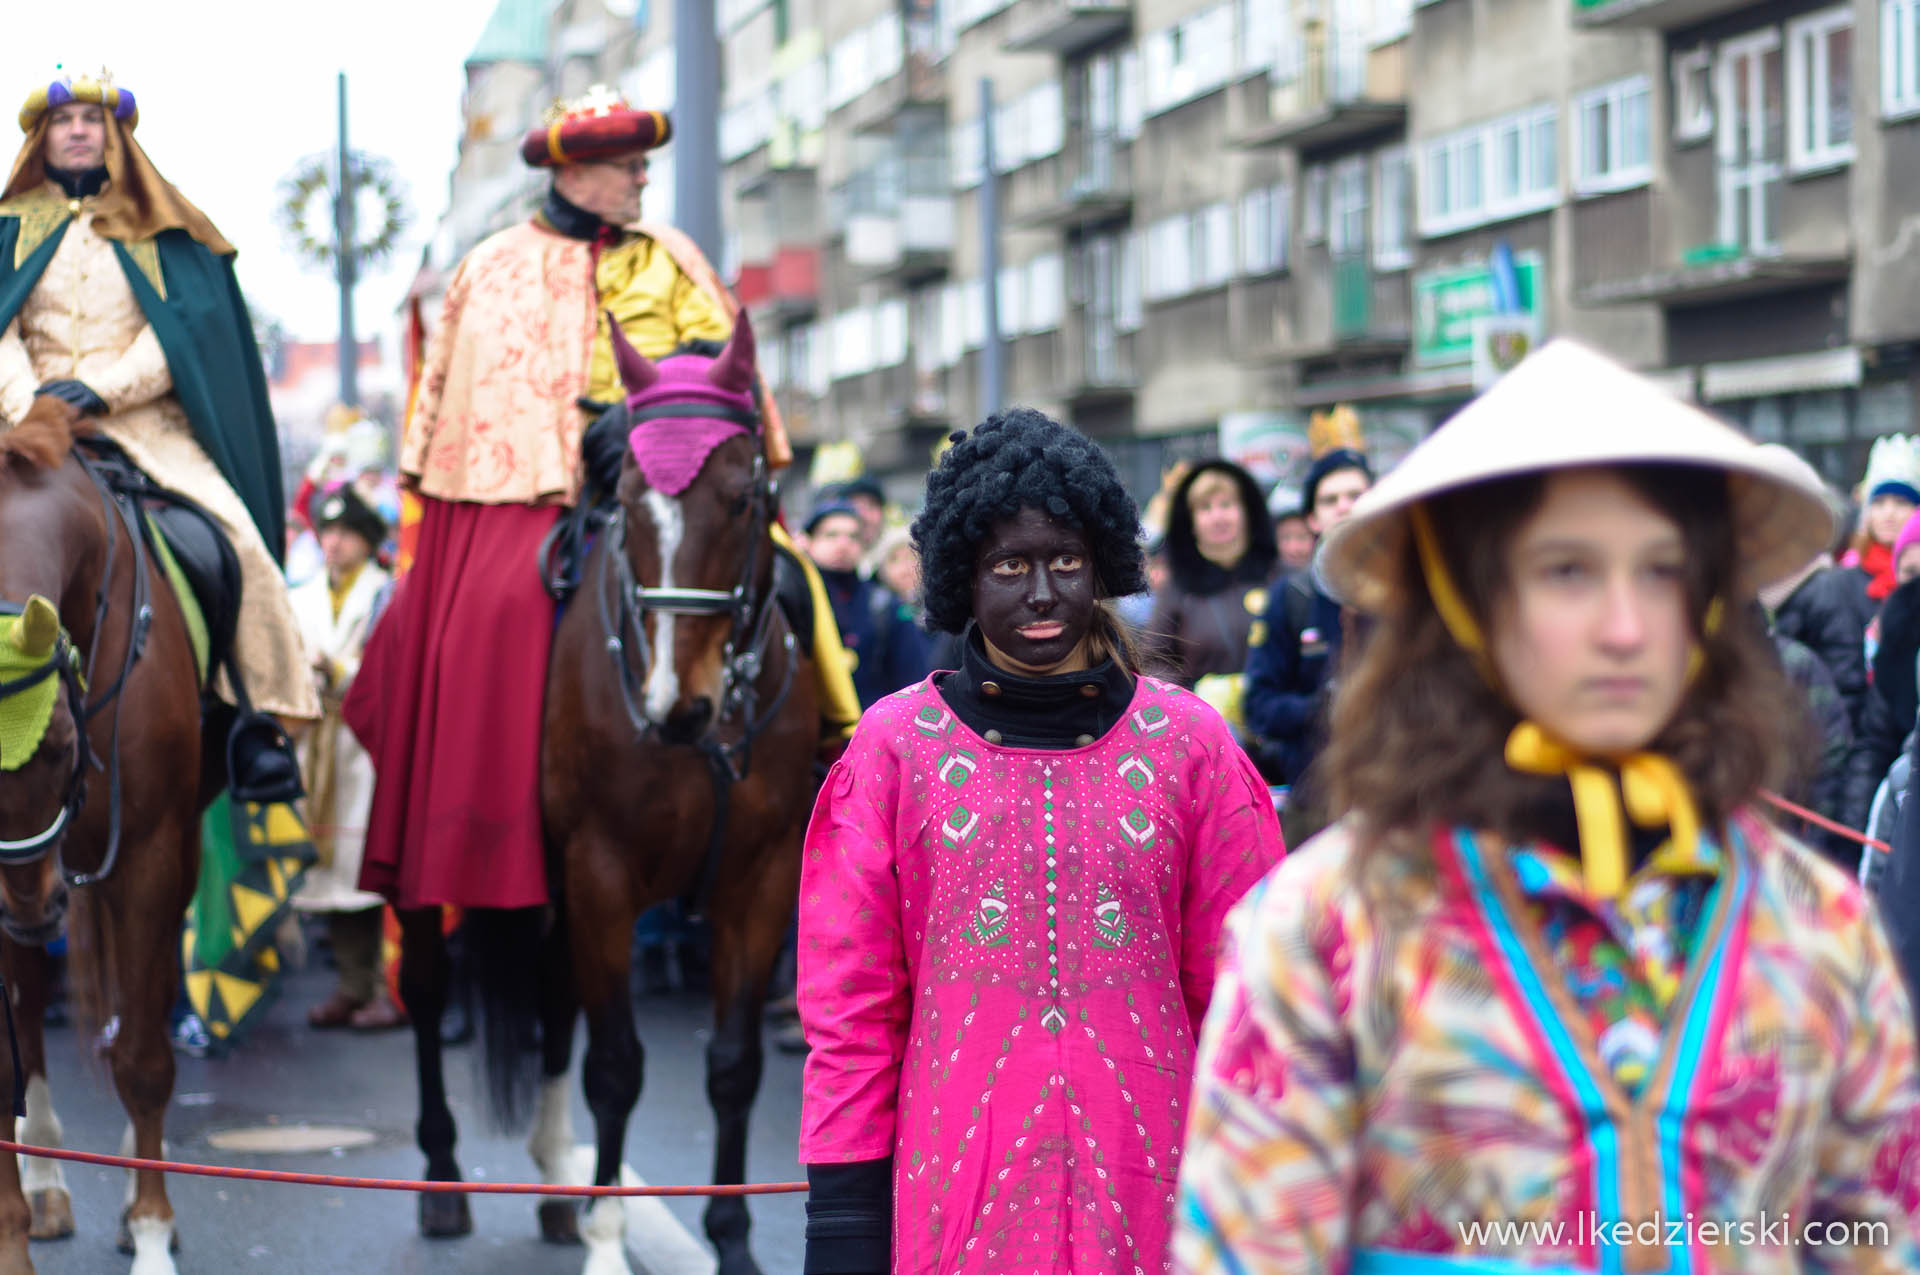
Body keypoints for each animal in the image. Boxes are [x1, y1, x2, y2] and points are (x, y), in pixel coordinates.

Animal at [397, 311, 817, 1275]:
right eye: (626, 497)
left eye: (743, 497)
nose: (675, 705)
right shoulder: (603, 874)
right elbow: (618, 1065)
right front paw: (609, 1239)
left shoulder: (762, 882)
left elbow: (733, 1064)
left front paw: (732, 1240)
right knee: (430, 993)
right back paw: (444, 1178)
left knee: (553, 1002)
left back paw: (557, 1185)